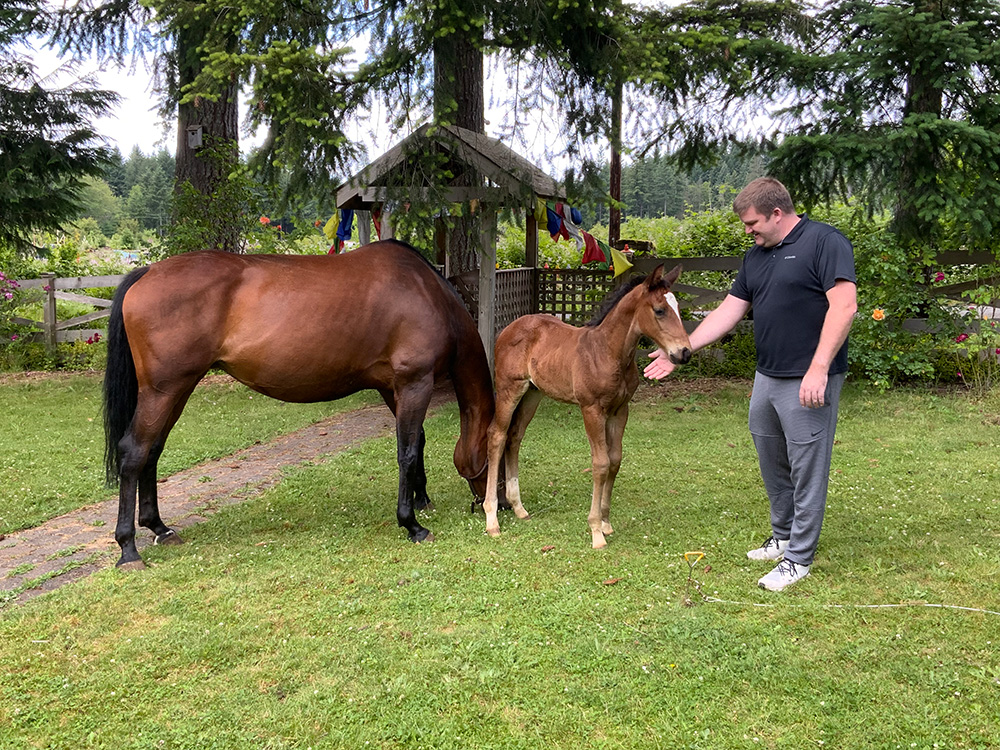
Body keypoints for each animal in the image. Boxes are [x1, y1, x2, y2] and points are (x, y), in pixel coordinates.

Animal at [103, 240, 498, 569]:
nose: (497, 505)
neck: (428, 294)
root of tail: (148, 272)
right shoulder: (415, 383)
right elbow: (409, 451)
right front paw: (412, 524)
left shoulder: (393, 388)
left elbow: (418, 441)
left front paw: (420, 498)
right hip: (163, 391)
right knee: (134, 453)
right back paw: (128, 549)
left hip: (177, 390)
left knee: (153, 451)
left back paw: (159, 527)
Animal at [482, 264, 692, 549]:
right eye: (659, 310)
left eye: (678, 307)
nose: (685, 353)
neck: (608, 352)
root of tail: (507, 329)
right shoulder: (591, 409)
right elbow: (600, 463)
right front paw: (596, 531)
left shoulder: (620, 410)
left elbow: (615, 460)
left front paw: (606, 523)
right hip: (509, 390)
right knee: (497, 436)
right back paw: (492, 519)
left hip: (532, 394)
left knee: (514, 437)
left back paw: (519, 507)